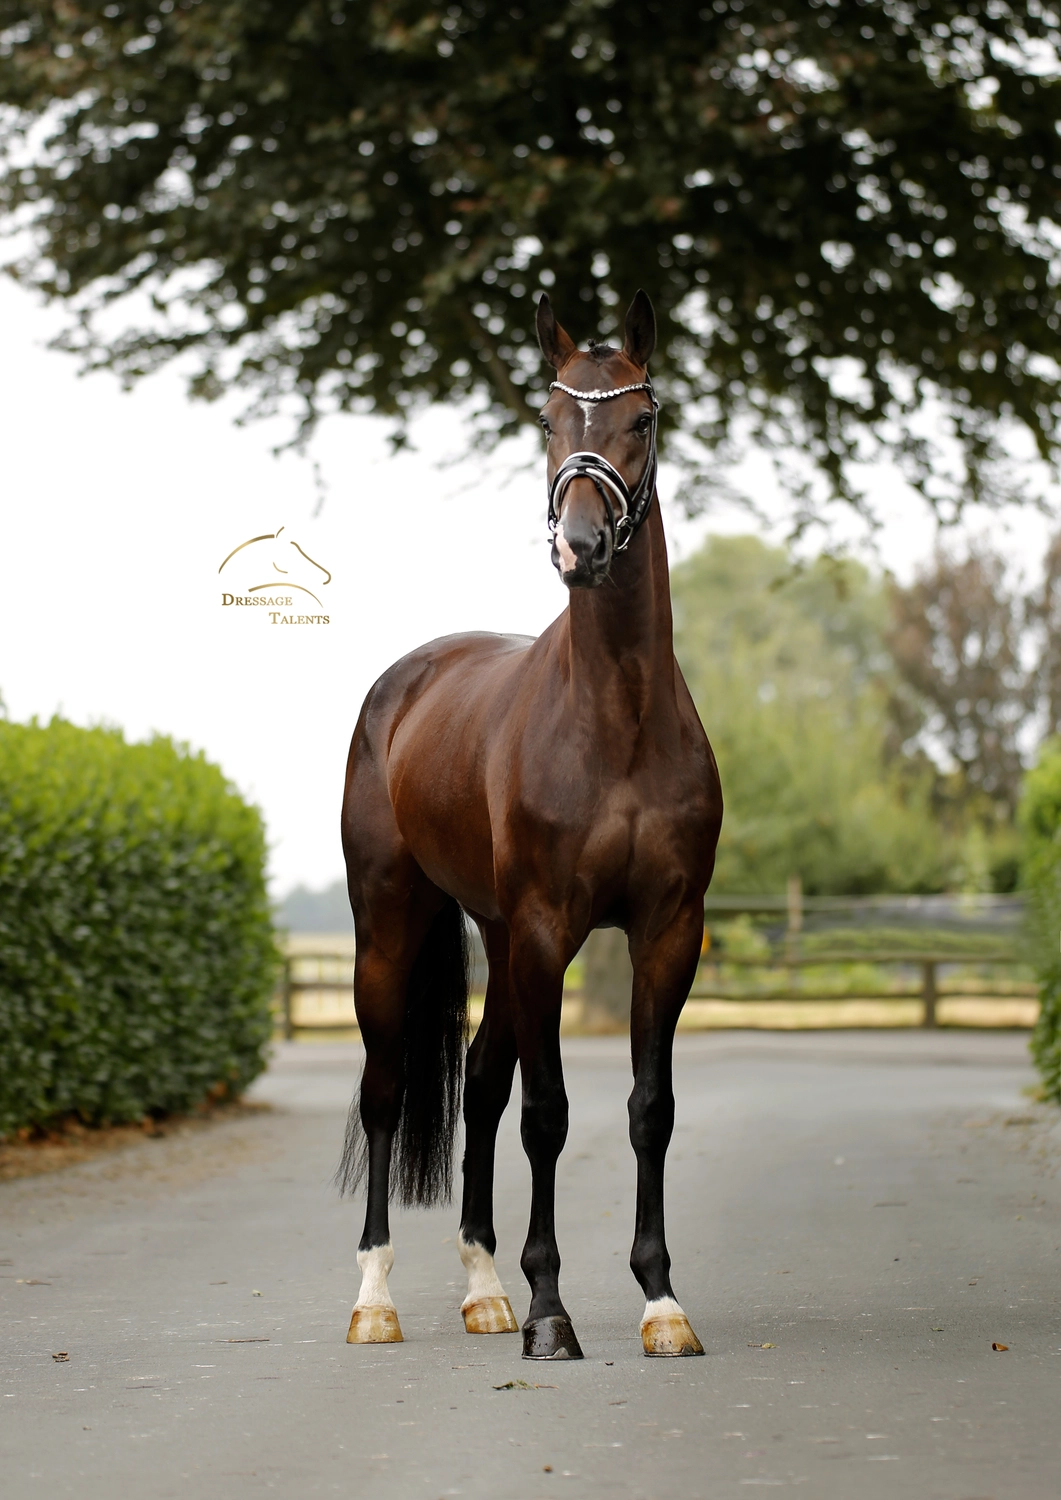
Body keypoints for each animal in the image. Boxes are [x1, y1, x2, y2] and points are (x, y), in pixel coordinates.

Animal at [338, 290, 723, 1361]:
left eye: (641, 418)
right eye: (549, 418)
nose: (579, 549)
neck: (615, 718)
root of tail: (404, 683)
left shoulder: (667, 931)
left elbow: (648, 1109)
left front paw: (660, 1302)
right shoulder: (552, 930)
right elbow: (548, 1115)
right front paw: (553, 1312)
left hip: (500, 938)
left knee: (478, 1085)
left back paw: (483, 1290)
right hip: (392, 929)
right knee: (387, 1091)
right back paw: (375, 1301)